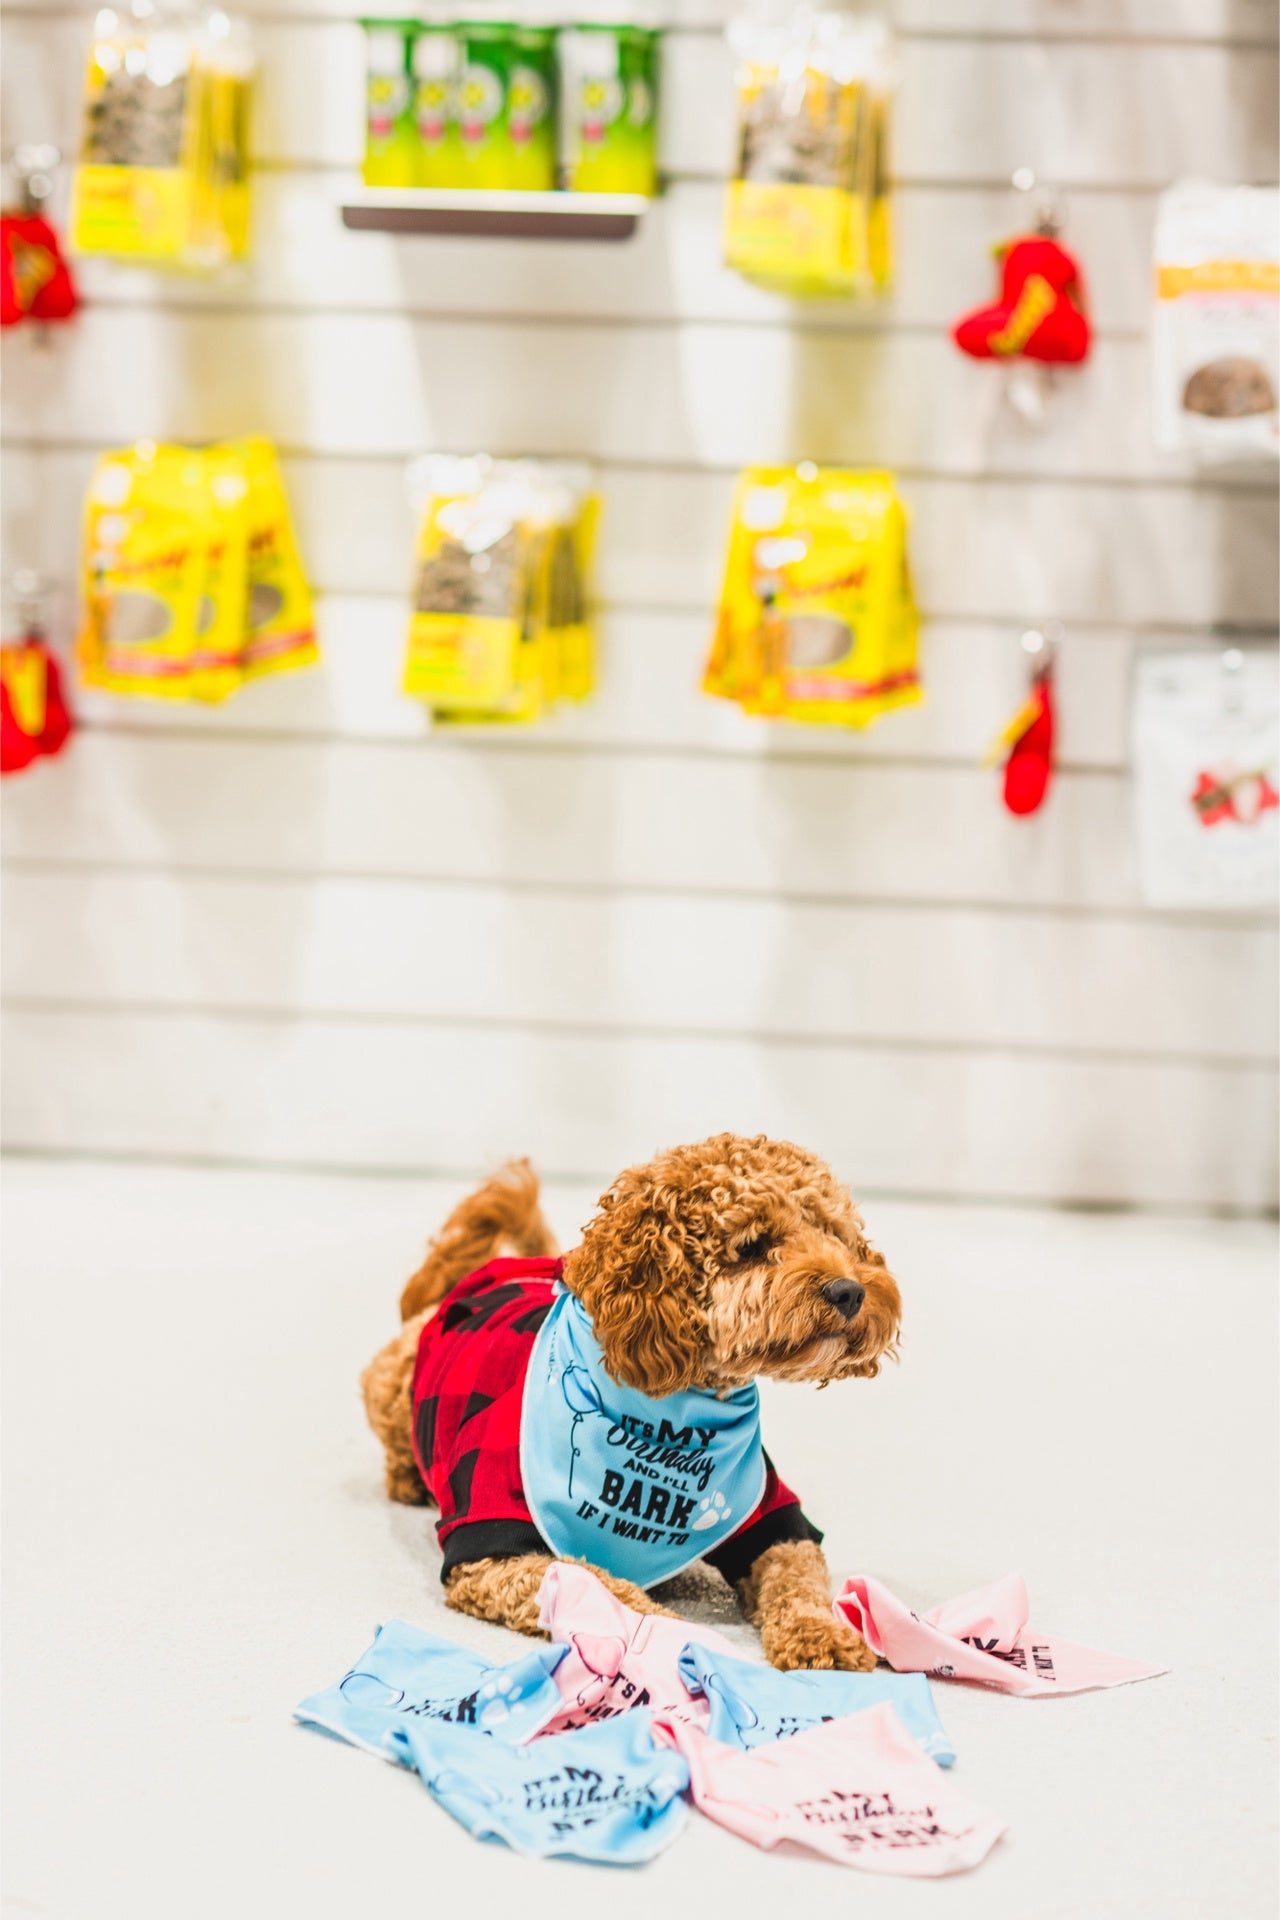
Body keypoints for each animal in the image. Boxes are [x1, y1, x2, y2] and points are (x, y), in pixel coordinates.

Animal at [360, 1136, 901, 1666]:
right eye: (753, 1245)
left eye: (834, 1234)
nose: (851, 1292)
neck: (669, 1415)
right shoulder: (493, 1553)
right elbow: (605, 1588)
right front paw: (675, 1635)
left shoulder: (772, 1518)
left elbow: (798, 1576)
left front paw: (819, 1632)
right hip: (390, 1385)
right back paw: (410, 1478)